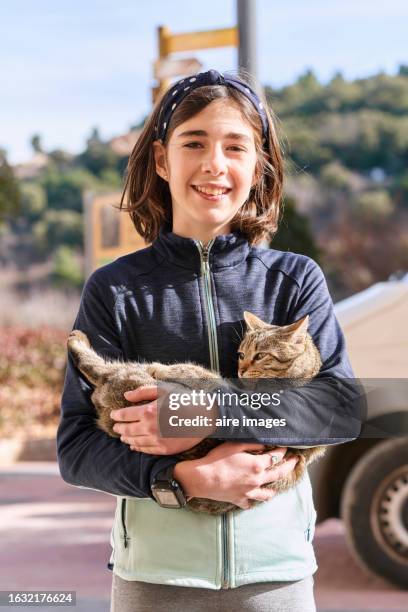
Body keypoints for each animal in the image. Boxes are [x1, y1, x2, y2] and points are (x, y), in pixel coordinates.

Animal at [67, 308, 326, 512]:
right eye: (241, 354)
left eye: (261, 355)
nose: (240, 370)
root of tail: (107, 390)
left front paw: (163, 369)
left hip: (127, 374)